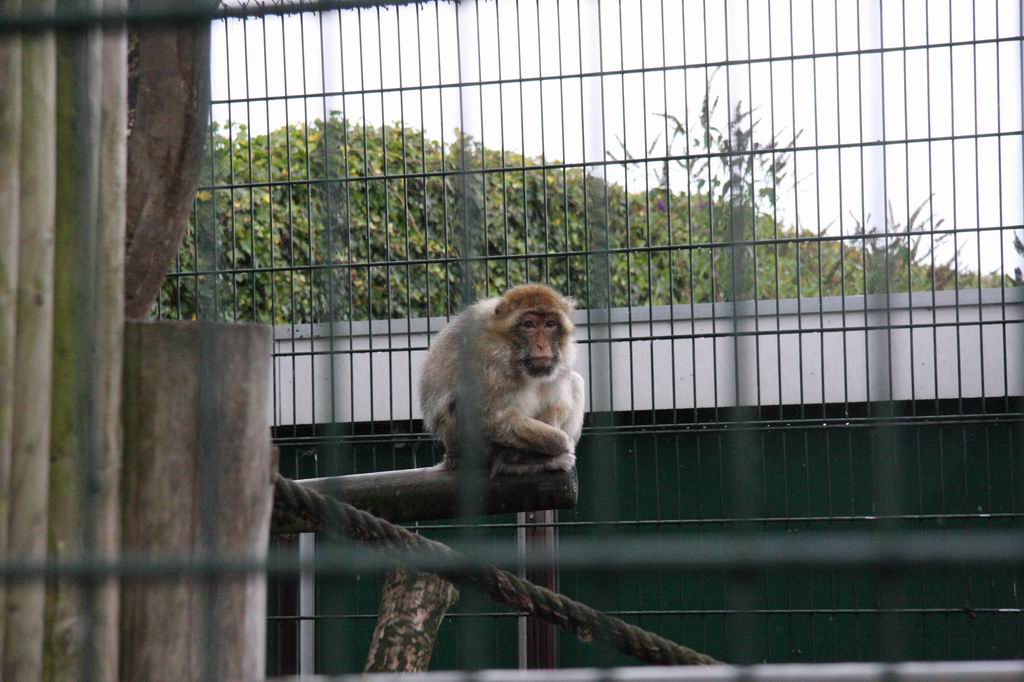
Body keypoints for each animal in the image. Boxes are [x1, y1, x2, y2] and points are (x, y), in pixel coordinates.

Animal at [418, 284, 585, 476]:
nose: (542, 346)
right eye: (529, 324)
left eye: (550, 324)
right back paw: (514, 462)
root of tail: (450, 456)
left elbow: (560, 404)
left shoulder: (562, 361)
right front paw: (560, 442)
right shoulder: (487, 357)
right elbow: (491, 420)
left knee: (576, 382)